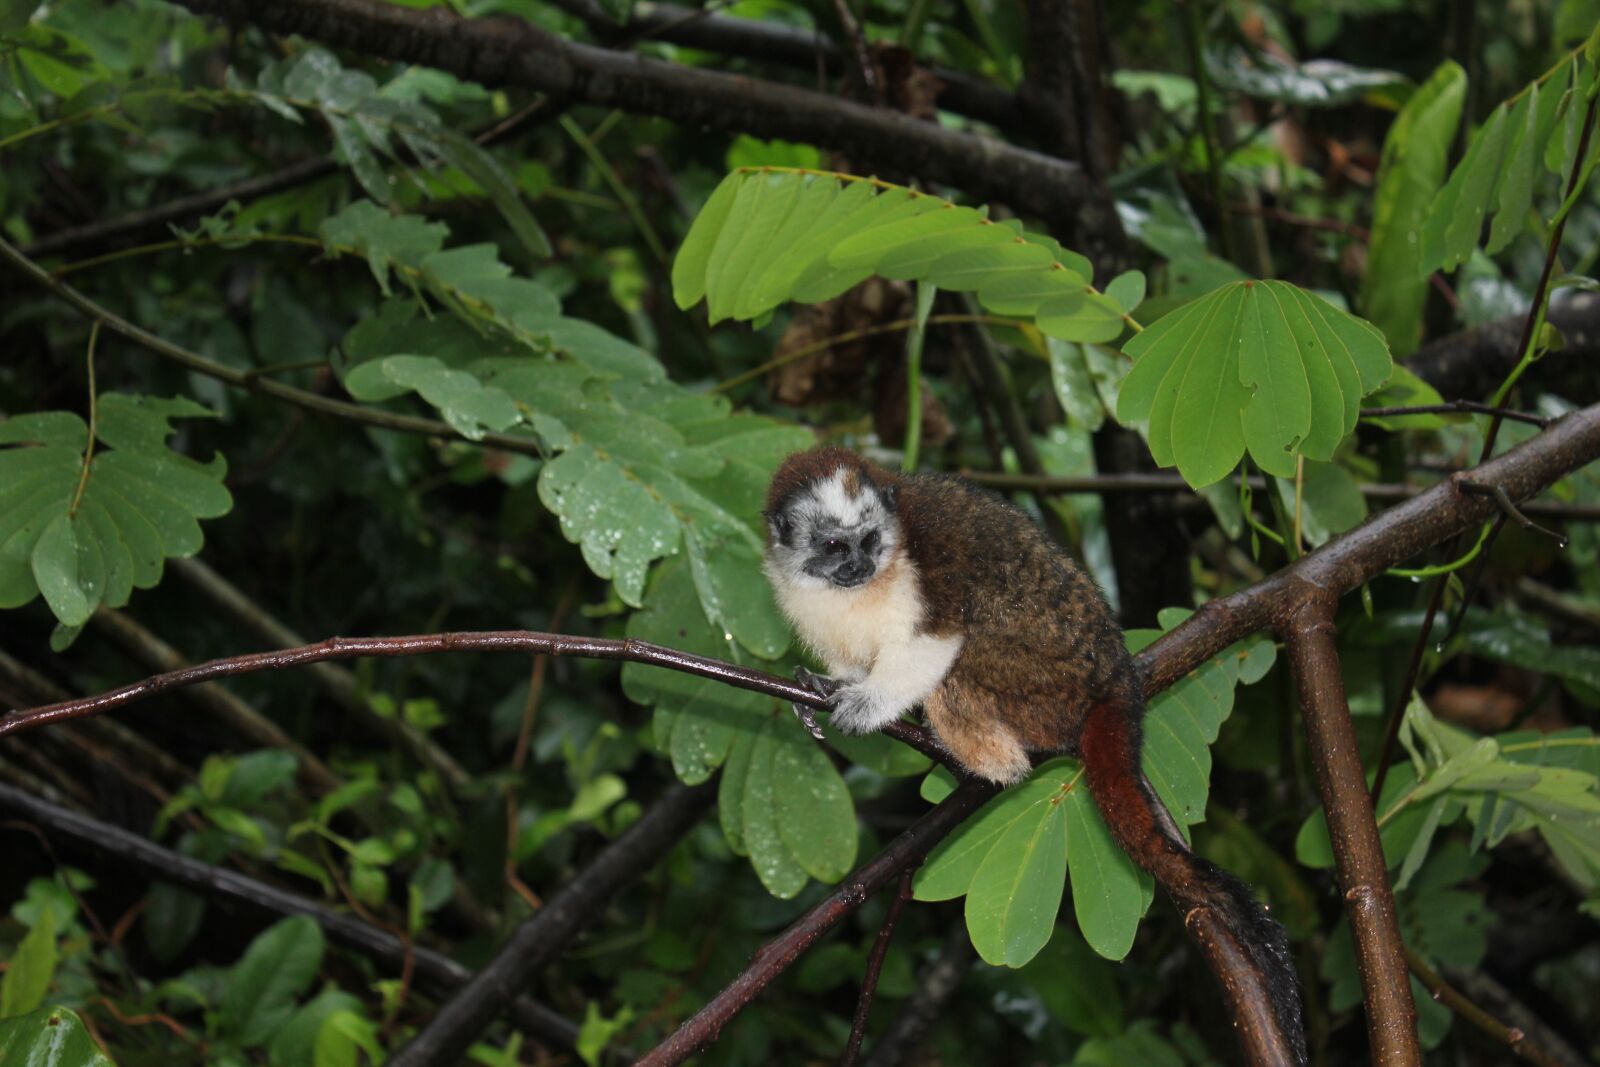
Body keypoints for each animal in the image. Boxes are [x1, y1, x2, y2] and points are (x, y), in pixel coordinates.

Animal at [763, 446, 1305, 1066]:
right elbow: (852, 661)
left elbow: (936, 641)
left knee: (970, 643)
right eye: (834, 546)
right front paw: (824, 687)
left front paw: (861, 708)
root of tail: (1113, 676)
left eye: (870, 541)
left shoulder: (930, 567)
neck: (857, 588)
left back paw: (988, 764)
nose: (858, 565)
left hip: (1042, 684)